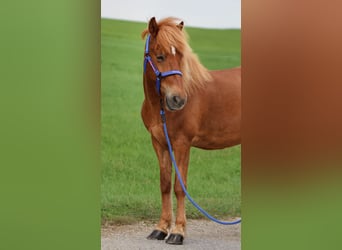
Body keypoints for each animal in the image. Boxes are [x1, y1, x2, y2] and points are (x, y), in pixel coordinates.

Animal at [140, 17, 239, 244]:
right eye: (160, 56)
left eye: (180, 57)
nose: (178, 100)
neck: (160, 109)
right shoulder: (160, 143)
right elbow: (165, 184)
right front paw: (160, 229)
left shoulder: (182, 144)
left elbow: (179, 187)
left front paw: (178, 232)